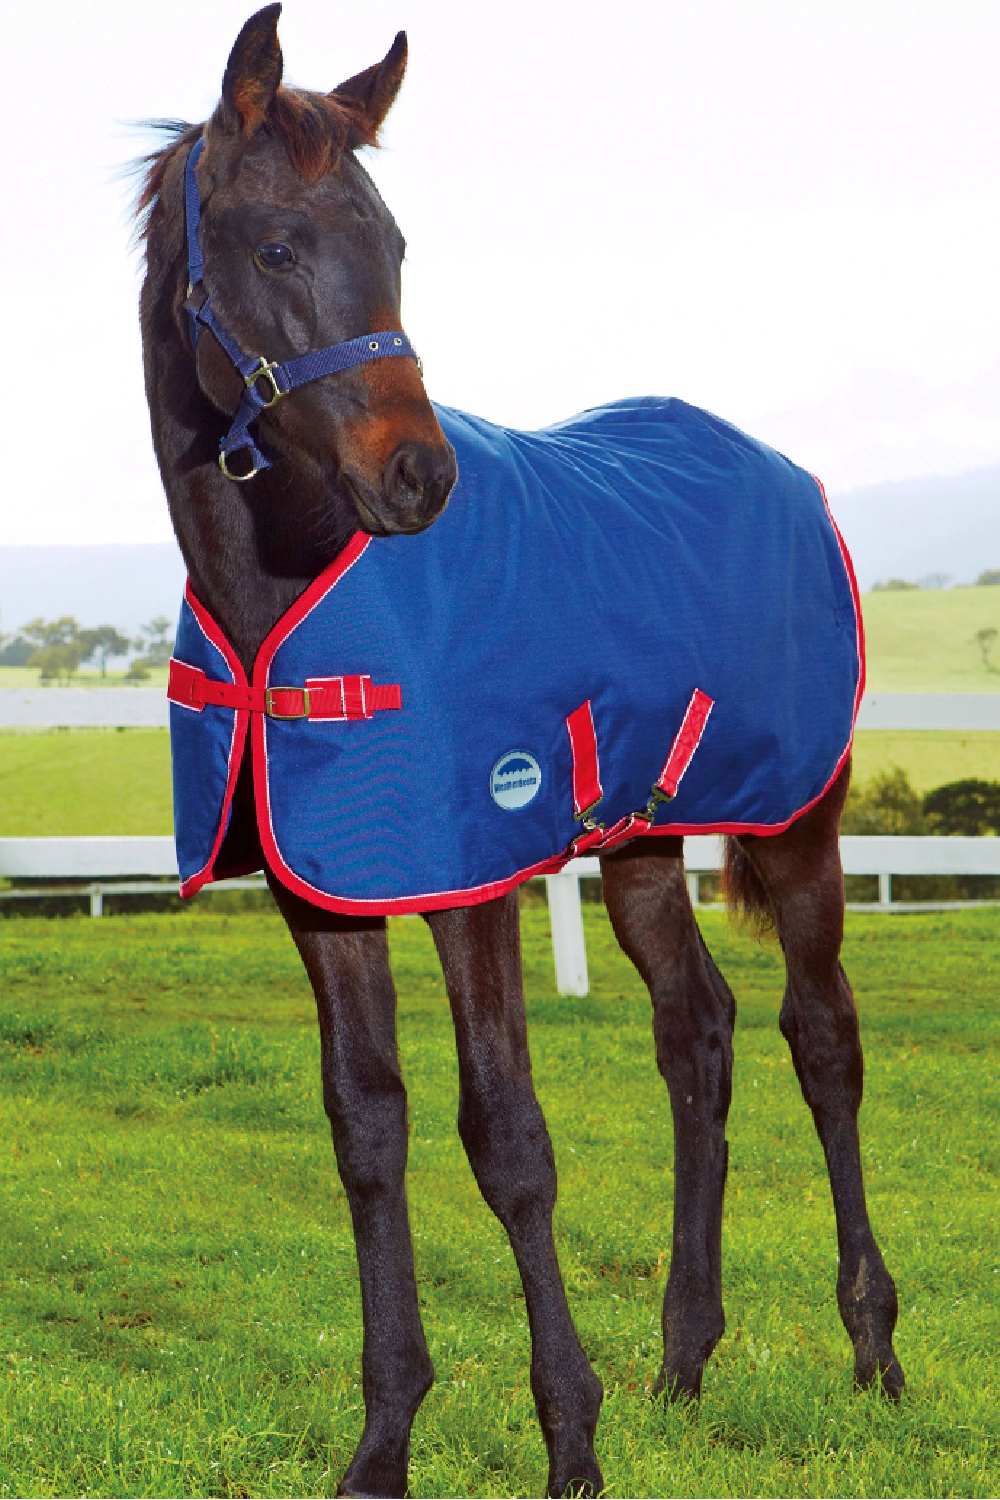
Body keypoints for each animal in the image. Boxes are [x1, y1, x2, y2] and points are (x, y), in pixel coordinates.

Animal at [135, 7, 903, 1495]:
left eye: (395, 243)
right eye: (276, 246)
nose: (419, 478)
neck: (288, 593)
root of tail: (784, 472)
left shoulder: (472, 882)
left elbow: (507, 1139)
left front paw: (571, 1443)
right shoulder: (328, 895)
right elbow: (367, 1130)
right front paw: (383, 1445)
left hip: (800, 822)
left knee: (821, 1037)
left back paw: (873, 1352)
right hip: (647, 840)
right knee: (696, 1032)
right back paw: (683, 1362)